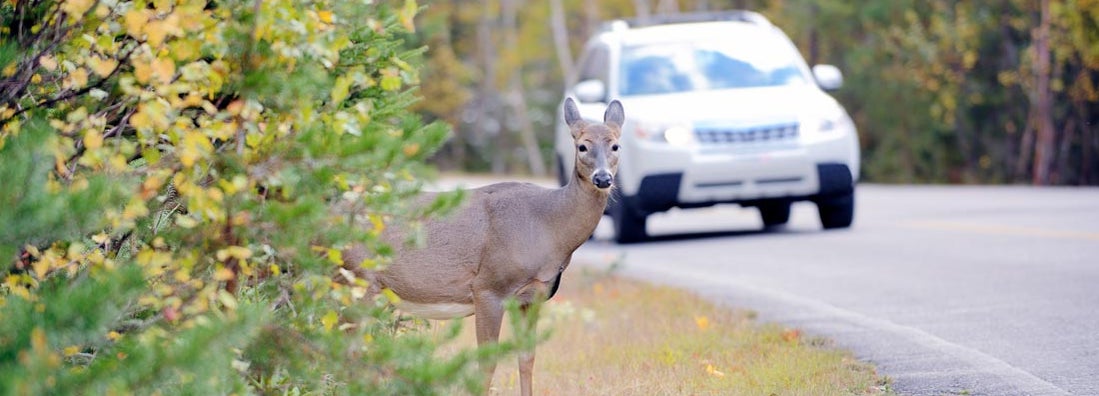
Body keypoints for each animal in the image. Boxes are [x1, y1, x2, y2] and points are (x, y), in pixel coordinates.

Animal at [340, 97, 619, 393]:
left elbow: (527, 358)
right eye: (582, 146)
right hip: (358, 279)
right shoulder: (488, 287)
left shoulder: (533, 297)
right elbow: (487, 364)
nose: (603, 178)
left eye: (615, 145)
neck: (547, 225)